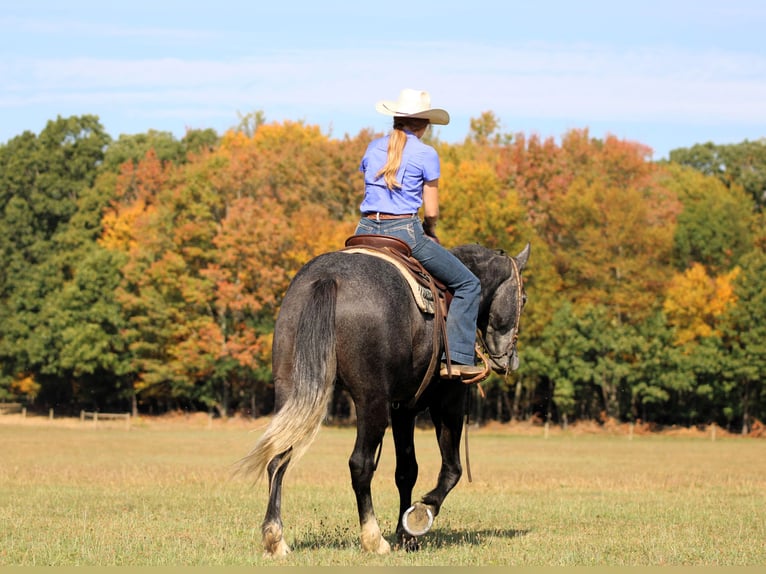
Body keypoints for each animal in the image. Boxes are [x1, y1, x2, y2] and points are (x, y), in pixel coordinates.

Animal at [239, 240, 530, 556]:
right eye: (523, 298)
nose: (510, 359)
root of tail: (327, 278)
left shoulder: (403, 409)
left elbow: (406, 471)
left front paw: (406, 534)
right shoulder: (448, 401)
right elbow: (452, 469)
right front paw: (420, 514)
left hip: (291, 391)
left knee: (278, 455)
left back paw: (275, 538)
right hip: (372, 401)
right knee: (360, 464)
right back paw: (373, 538)